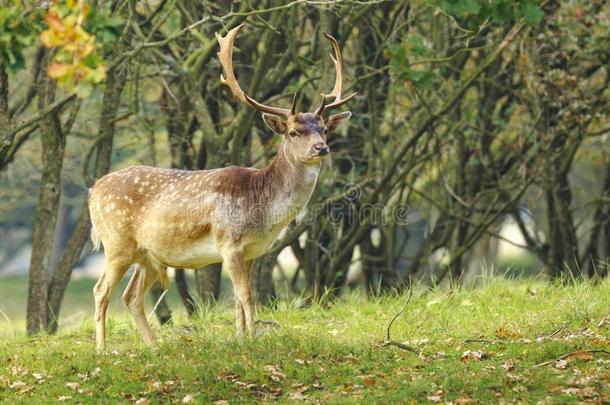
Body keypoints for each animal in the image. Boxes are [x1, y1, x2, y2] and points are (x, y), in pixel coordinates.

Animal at [90, 24, 356, 350]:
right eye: (294, 132)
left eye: (324, 128)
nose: (322, 148)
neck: (263, 208)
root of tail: (92, 191)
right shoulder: (230, 243)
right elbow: (247, 297)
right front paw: (253, 340)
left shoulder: (252, 252)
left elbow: (239, 302)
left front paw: (241, 339)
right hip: (116, 242)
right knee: (101, 291)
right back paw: (103, 350)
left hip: (148, 255)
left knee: (131, 296)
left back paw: (154, 347)